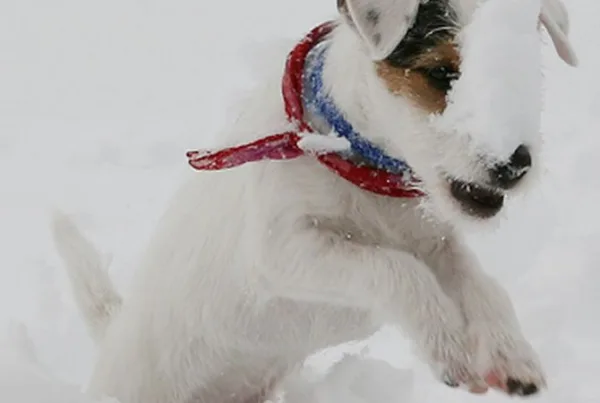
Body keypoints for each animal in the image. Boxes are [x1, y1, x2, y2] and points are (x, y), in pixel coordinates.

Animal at [50, 0, 576, 403]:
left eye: (525, 76)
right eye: (442, 73)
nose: (517, 164)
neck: (363, 167)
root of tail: (114, 337)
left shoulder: (436, 242)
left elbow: (483, 285)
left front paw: (511, 354)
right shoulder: (281, 248)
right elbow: (397, 268)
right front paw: (449, 346)